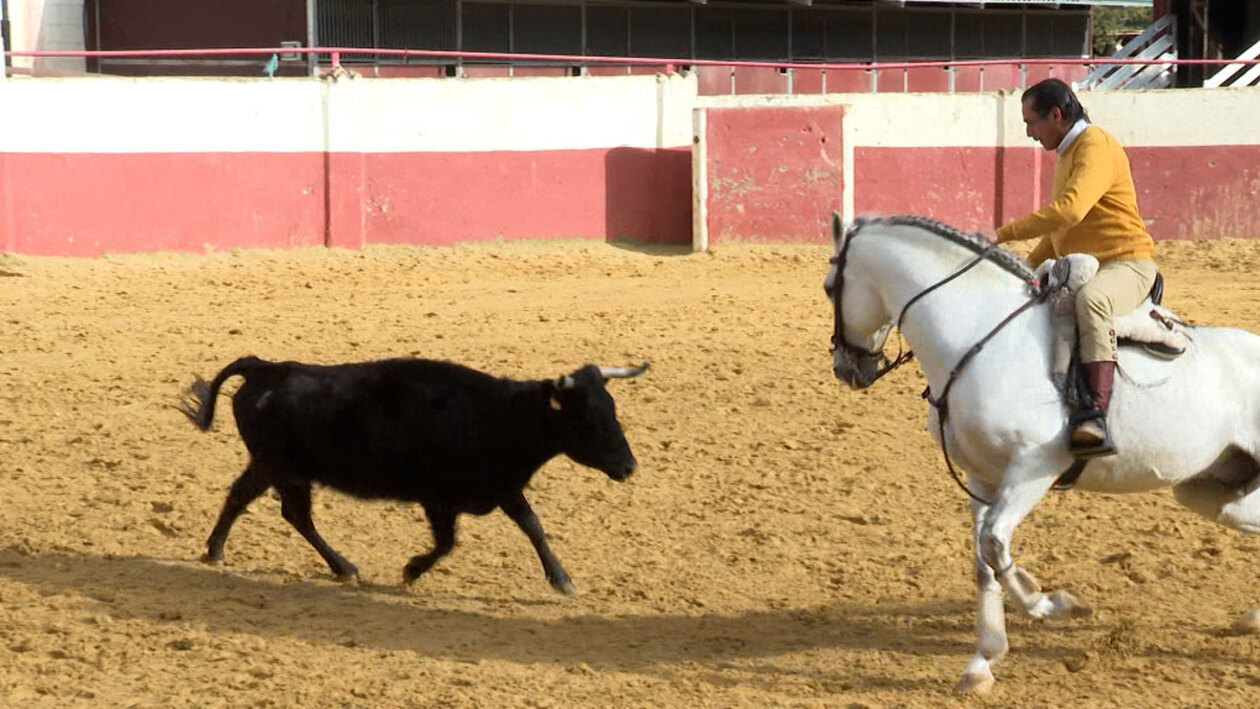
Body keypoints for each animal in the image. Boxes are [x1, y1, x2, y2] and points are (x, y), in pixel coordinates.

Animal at [823, 214, 1260, 693]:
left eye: (828, 288)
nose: (847, 369)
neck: (977, 333)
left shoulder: (1034, 468)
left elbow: (995, 544)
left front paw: (1055, 604)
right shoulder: (982, 478)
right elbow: (983, 562)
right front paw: (983, 659)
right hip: (1209, 489)